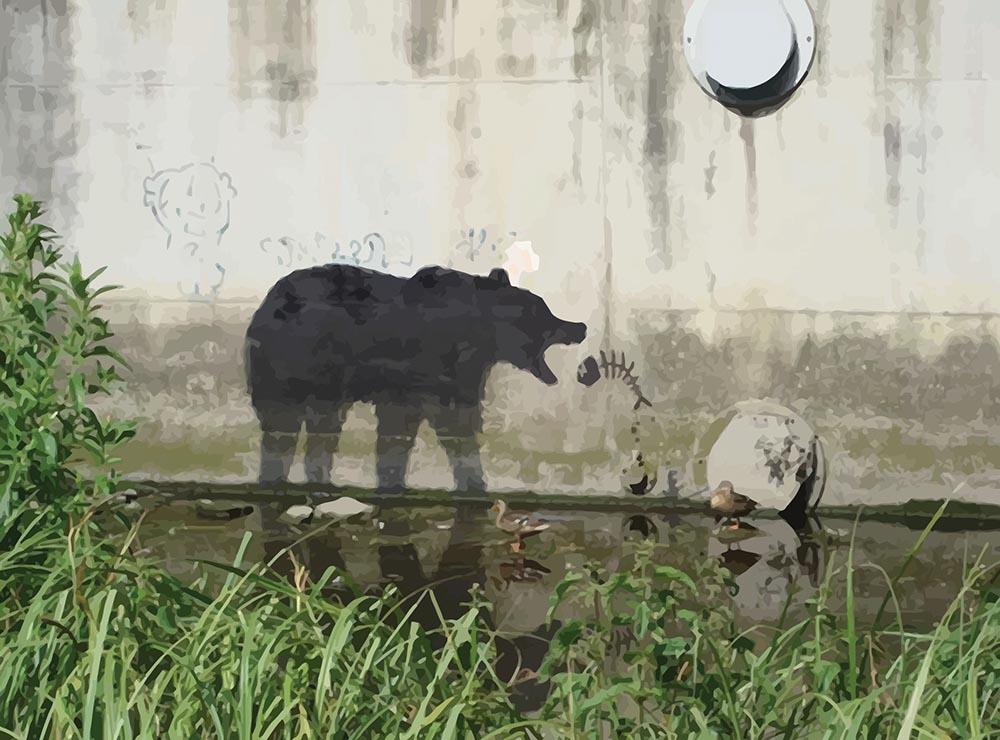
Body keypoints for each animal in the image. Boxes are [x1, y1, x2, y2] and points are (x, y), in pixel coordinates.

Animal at [244, 263, 587, 492]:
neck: (480, 335)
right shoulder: (422, 371)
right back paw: (274, 477)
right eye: (546, 312)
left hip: (321, 385)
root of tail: (262, 307)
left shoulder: (449, 375)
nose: (580, 326)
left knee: (321, 430)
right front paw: (471, 481)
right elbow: (439, 425)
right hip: (290, 366)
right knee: (281, 427)